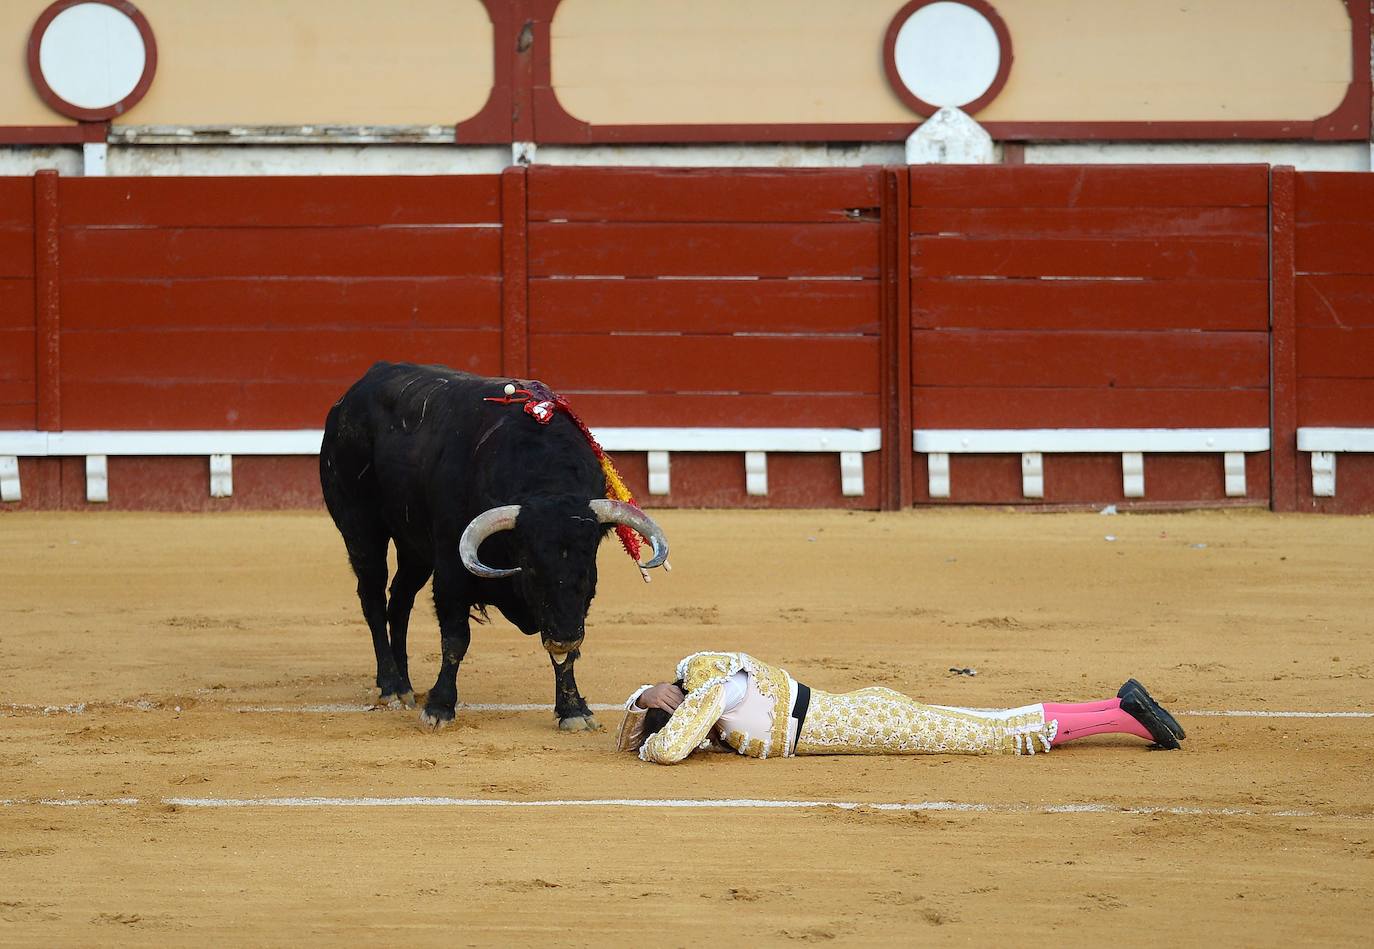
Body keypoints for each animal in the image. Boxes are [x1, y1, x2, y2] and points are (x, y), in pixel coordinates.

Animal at [321, 359, 665, 730]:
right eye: (530, 566)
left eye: (588, 567)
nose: (566, 634)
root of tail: (360, 385)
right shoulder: (451, 570)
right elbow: (455, 639)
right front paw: (439, 707)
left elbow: (564, 656)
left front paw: (573, 710)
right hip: (361, 527)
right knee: (372, 598)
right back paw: (390, 686)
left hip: (414, 548)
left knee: (399, 601)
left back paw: (405, 686)